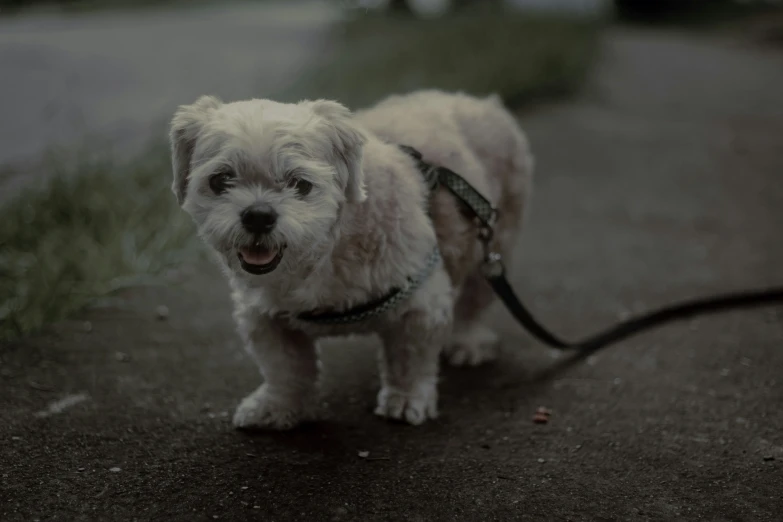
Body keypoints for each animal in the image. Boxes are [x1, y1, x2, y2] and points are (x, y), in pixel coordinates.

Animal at [169, 89, 536, 426]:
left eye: (300, 184)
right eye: (221, 180)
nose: (258, 215)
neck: (324, 251)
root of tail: (480, 102)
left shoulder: (419, 302)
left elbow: (409, 359)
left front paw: (406, 399)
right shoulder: (265, 316)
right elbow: (284, 367)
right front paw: (276, 406)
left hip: (491, 248)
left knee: (473, 301)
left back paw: (468, 343)